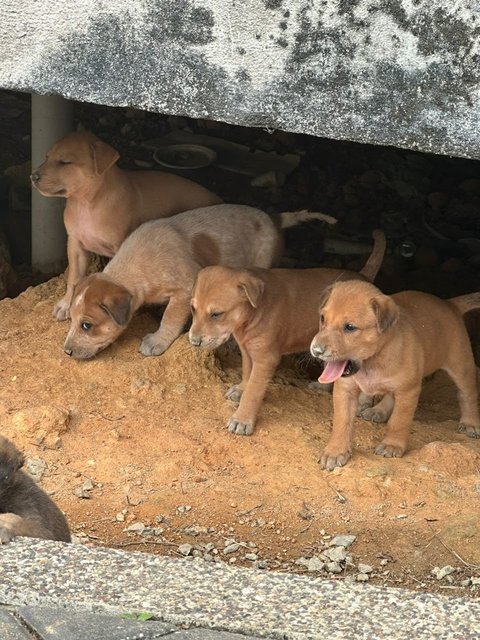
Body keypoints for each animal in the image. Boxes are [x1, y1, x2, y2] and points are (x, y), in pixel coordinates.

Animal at [31, 131, 222, 320]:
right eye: (46, 157)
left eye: (65, 162)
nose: (33, 176)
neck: (85, 203)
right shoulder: (75, 243)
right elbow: (74, 278)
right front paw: (65, 305)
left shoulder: (120, 244)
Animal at [63, 205, 336, 360]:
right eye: (73, 320)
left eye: (86, 325)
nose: (66, 351)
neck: (132, 270)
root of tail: (274, 218)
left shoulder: (185, 289)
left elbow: (170, 318)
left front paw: (156, 342)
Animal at [308, 280, 480, 470]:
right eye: (323, 319)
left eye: (350, 327)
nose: (316, 350)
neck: (372, 361)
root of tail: (449, 305)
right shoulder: (345, 390)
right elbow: (341, 422)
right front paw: (335, 451)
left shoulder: (408, 391)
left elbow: (399, 421)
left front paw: (392, 445)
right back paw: (378, 410)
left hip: (461, 365)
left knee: (468, 394)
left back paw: (470, 422)